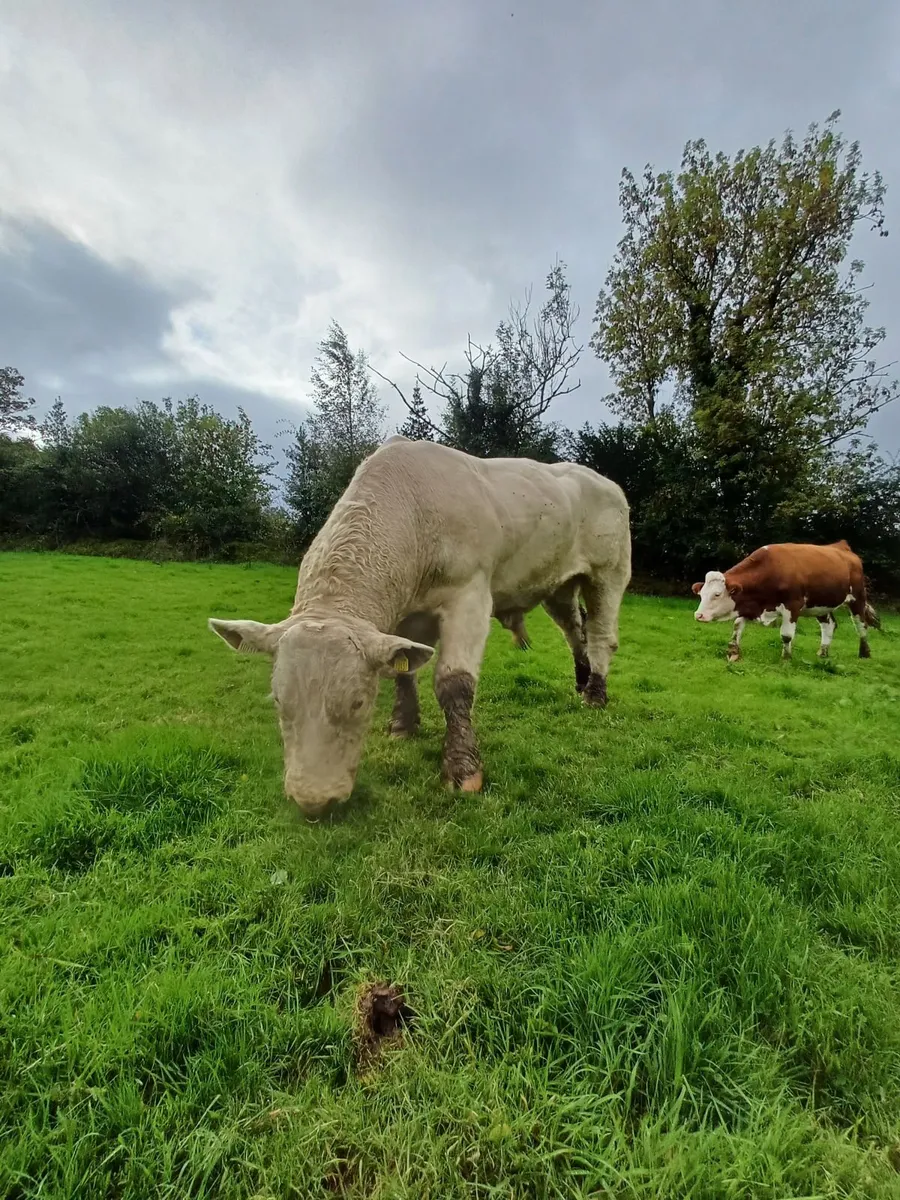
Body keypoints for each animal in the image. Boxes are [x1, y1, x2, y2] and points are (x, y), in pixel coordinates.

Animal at [208, 436, 632, 816]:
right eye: (279, 700)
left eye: (358, 702)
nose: (312, 801)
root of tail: (601, 479)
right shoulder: (404, 617)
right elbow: (403, 671)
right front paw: (403, 724)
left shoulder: (469, 595)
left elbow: (454, 683)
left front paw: (462, 768)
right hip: (557, 586)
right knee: (575, 631)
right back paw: (581, 682)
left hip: (609, 573)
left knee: (601, 636)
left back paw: (596, 694)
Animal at [692, 540, 879, 663]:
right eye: (701, 594)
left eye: (717, 594)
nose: (698, 615)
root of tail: (842, 546)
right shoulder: (751, 603)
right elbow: (737, 626)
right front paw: (733, 652)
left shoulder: (792, 606)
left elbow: (786, 635)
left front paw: (786, 658)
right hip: (820, 605)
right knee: (829, 625)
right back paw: (823, 652)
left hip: (857, 598)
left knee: (861, 625)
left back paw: (865, 653)